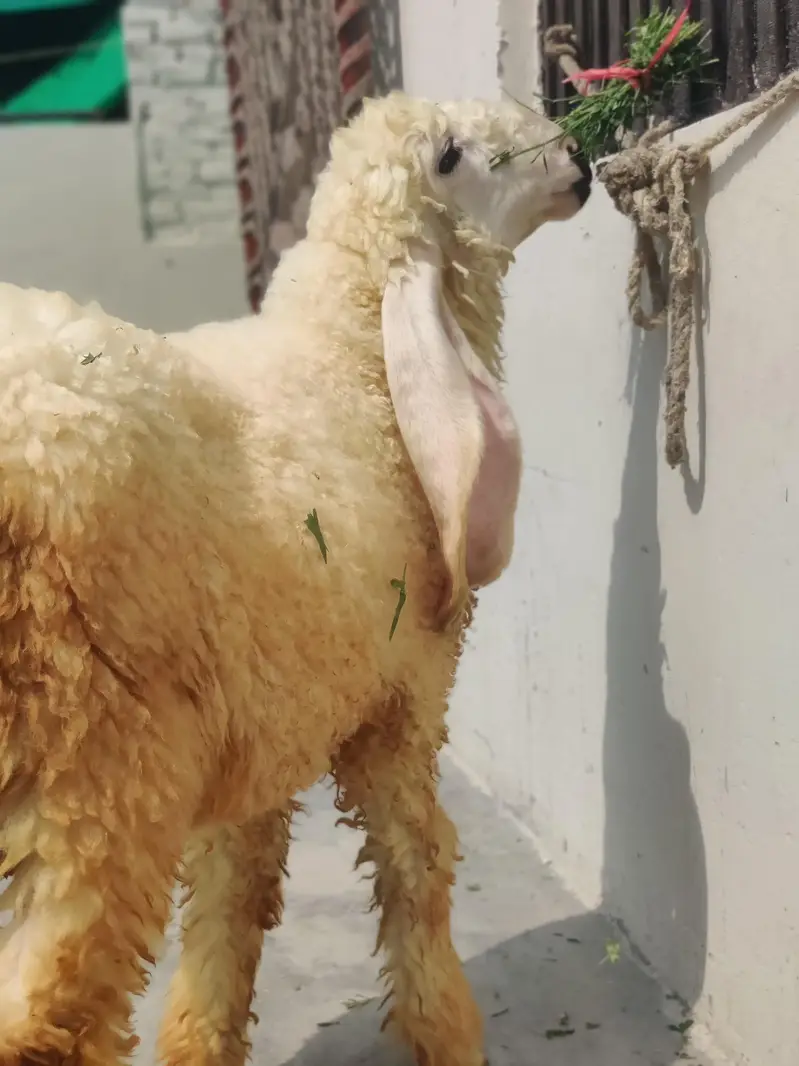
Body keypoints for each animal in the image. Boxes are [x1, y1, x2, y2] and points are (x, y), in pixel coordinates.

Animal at [0, 91, 591, 1066]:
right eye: (451, 156)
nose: (577, 162)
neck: (353, 360)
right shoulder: (401, 697)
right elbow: (416, 866)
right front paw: (447, 1034)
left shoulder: (261, 718)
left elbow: (231, 900)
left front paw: (200, 1041)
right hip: (99, 761)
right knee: (49, 1013)